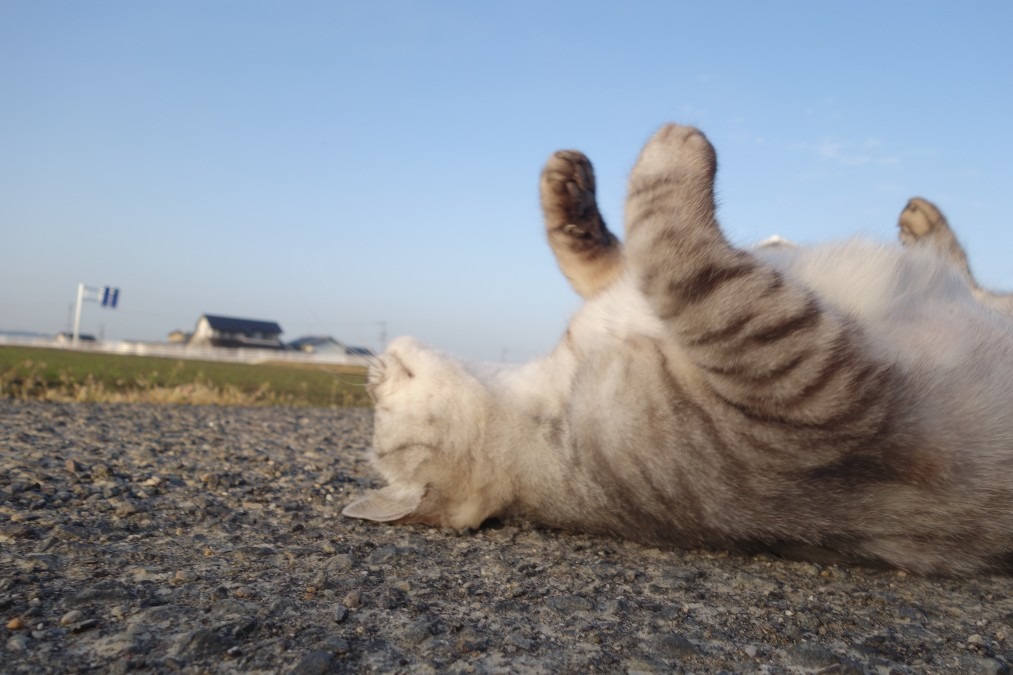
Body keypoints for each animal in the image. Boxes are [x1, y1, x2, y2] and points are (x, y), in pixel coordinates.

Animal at [342, 122, 1013, 571]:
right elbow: (674, 252)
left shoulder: (623, 295)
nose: (371, 371)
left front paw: (570, 197)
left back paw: (923, 223)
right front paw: (673, 152)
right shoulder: (812, 392)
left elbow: (610, 257)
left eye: (378, 406)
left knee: (977, 283)